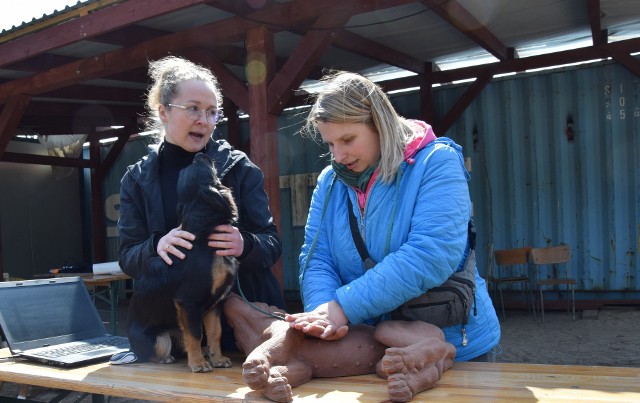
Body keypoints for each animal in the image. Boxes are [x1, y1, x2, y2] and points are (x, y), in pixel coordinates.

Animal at [127, 153, 240, 374]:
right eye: (199, 164)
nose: (199, 154)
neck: (202, 235)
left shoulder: (214, 304)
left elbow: (215, 333)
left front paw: (217, 359)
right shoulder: (189, 302)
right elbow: (196, 335)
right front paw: (198, 364)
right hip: (160, 339)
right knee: (155, 353)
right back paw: (168, 358)